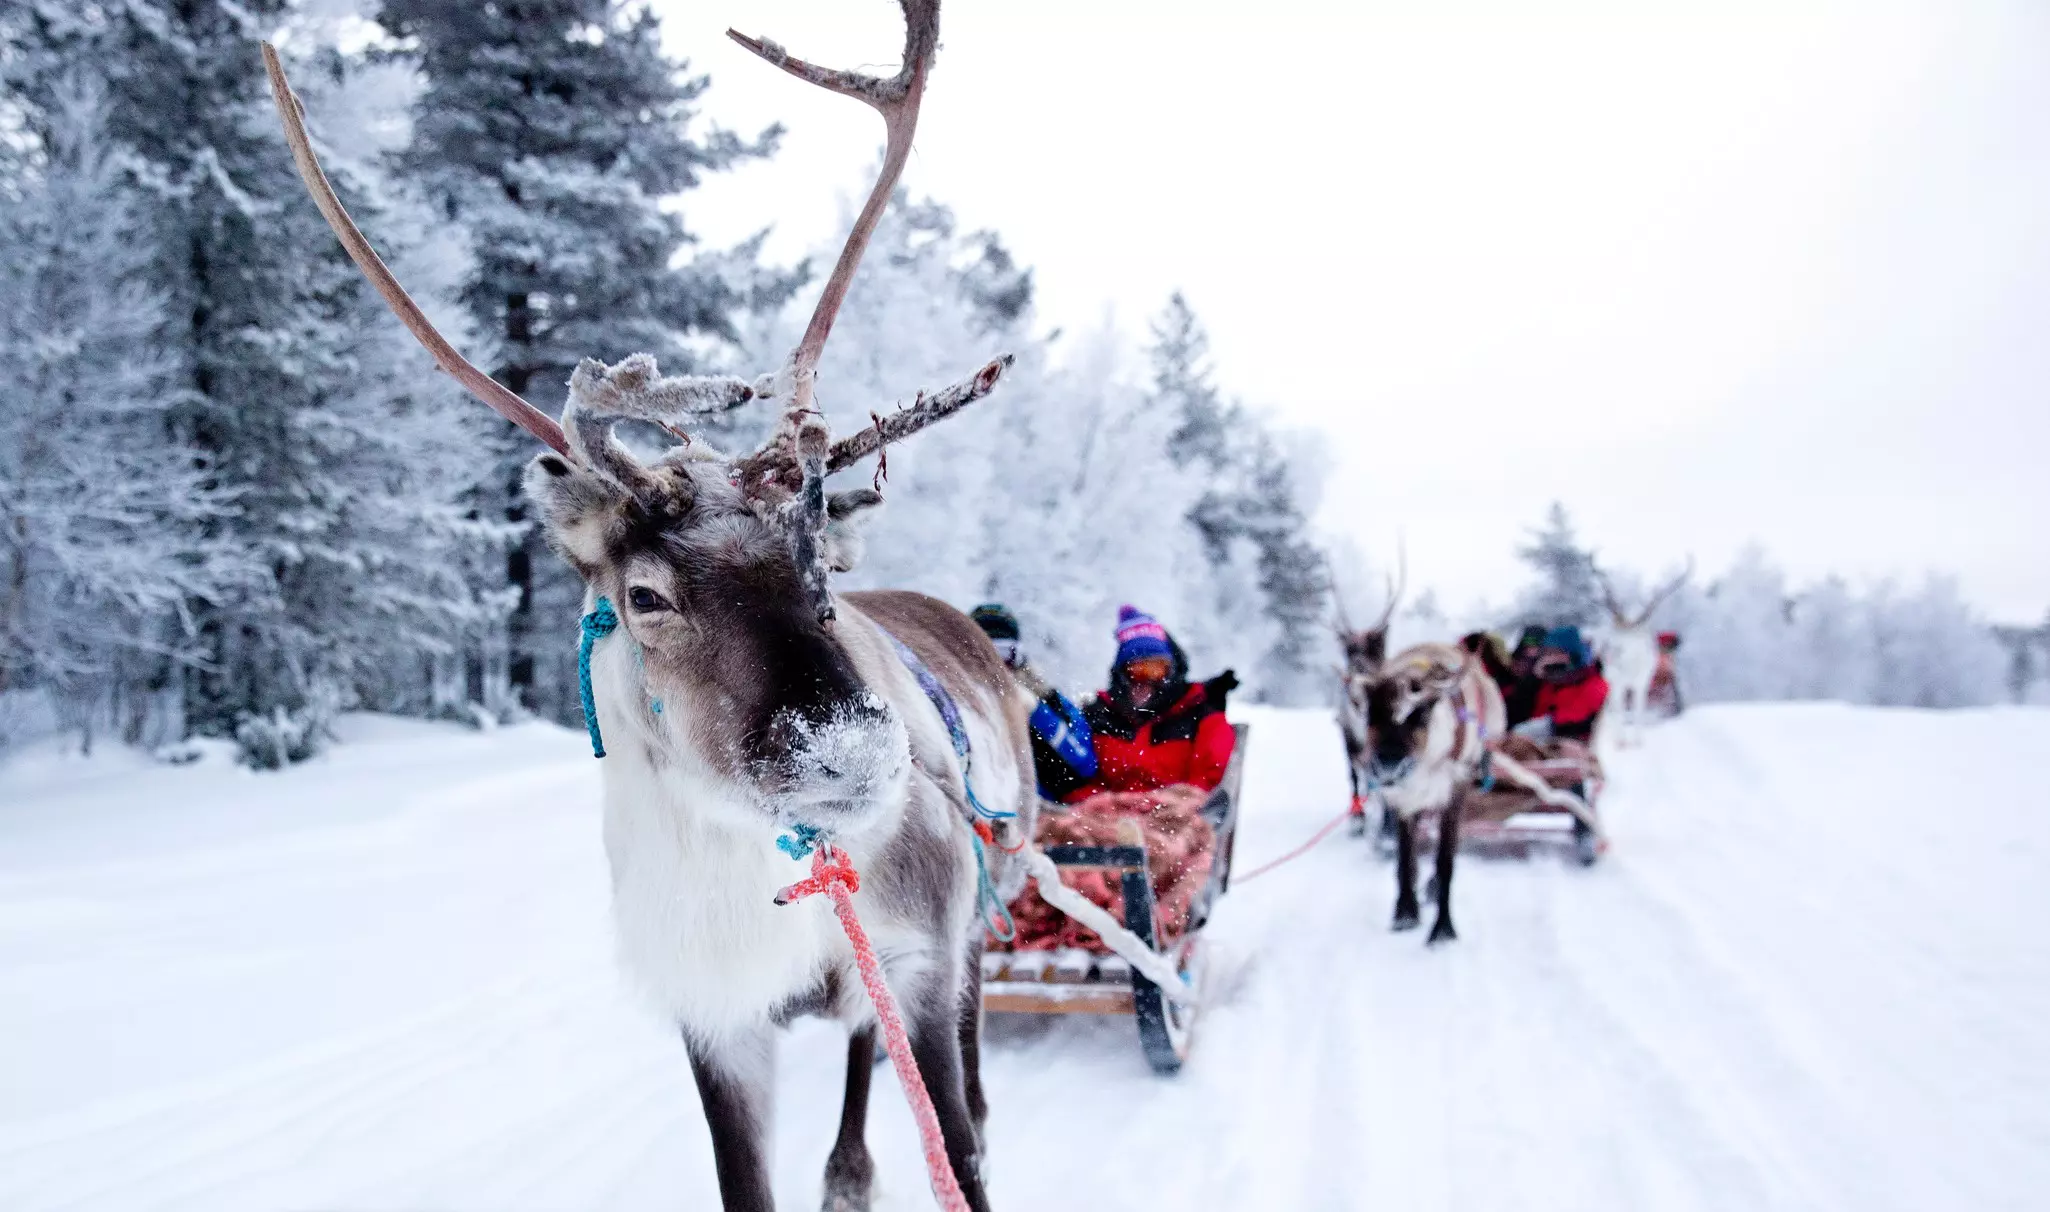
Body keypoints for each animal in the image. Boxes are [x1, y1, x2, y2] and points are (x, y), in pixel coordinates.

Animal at [263, 5, 1033, 1209]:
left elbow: (950, 1147)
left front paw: (958, 1142)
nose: (850, 751)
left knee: (960, 1019)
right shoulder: (715, 1019)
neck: (773, 865)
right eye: (644, 595)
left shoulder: (918, 952)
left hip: (992, 889)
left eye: (820, 566)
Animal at [1593, 559, 1691, 749]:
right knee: (1614, 707)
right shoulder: (1620, 682)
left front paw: (1637, 741)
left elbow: (1639, 710)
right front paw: (1622, 742)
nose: (1609, 653)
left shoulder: (1642, 681)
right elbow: (1620, 710)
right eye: (1614, 634)